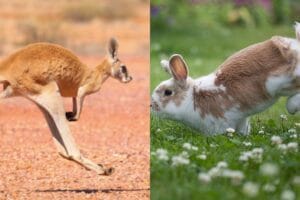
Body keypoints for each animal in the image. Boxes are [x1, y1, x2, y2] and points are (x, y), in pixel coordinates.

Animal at [0, 38, 132, 175]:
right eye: (123, 67)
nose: (130, 78)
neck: (97, 73)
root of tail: (8, 64)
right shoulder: (84, 89)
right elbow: (79, 98)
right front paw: (73, 116)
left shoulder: (74, 93)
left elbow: (75, 101)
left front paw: (71, 114)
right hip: (49, 91)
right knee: (71, 151)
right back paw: (102, 169)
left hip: (28, 95)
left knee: (62, 150)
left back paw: (100, 167)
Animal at [151, 22, 300, 135]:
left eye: (168, 92)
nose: (151, 106)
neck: (193, 98)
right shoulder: (241, 119)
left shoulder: (221, 122)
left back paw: (292, 107)